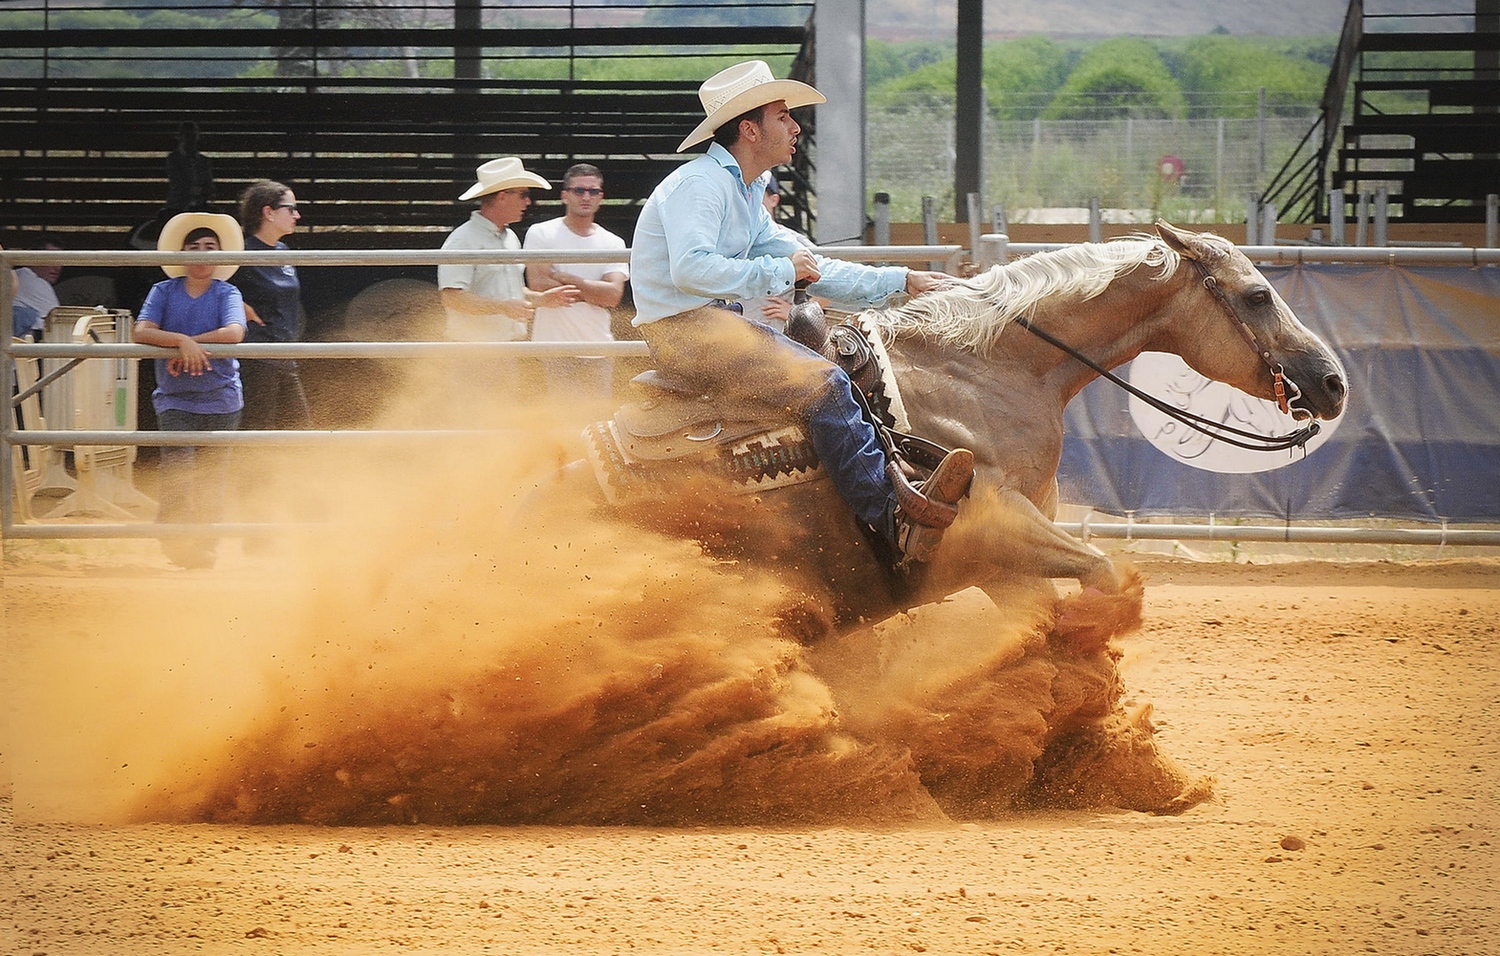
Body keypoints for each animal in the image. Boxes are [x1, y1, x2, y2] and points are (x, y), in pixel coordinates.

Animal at [567, 220, 1344, 630]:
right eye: (1258, 294)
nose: (1332, 383)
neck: (989, 373)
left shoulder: (1008, 563)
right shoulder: (996, 522)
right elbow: (1108, 573)